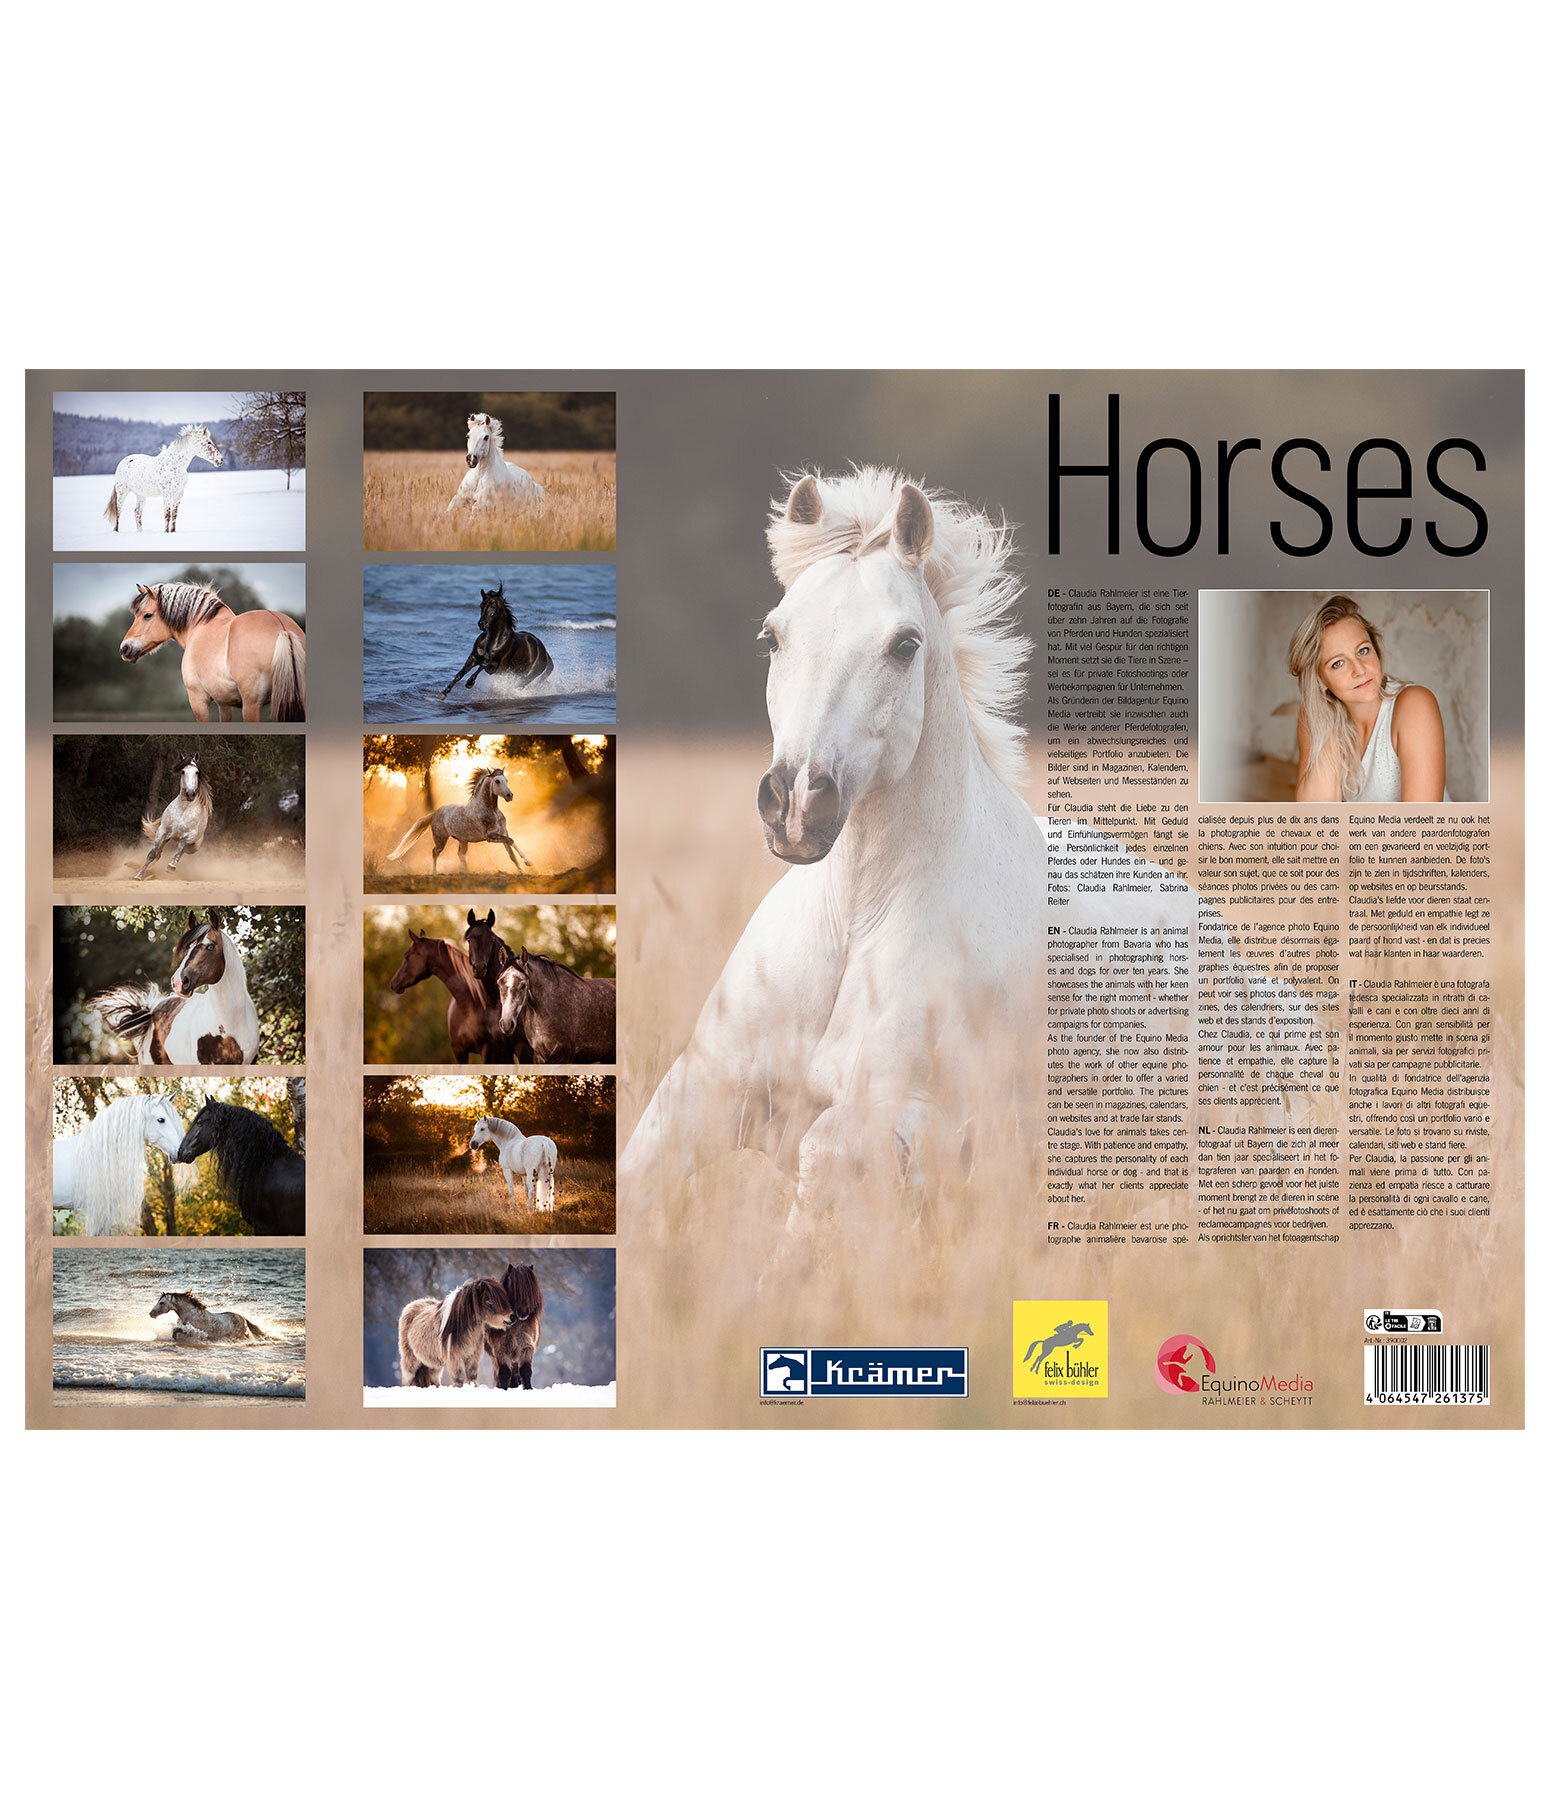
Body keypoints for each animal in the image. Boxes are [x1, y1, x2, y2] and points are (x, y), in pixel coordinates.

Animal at [121, 581, 306, 722]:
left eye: (147, 615)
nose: (125, 648)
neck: (198, 625)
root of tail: (283, 629)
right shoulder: (224, 704)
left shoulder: (198, 699)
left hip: (251, 705)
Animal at [386, 767, 531, 874]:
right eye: (497, 781)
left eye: (506, 780)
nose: (509, 795)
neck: (491, 810)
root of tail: (434, 814)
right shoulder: (490, 836)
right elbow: (511, 841)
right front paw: (528, 862)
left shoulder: (503, 833)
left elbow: (511, 852)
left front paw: (523, 870)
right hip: (441, 840)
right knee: (434, 852)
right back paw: (434, 873)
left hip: (463, 840)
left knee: (460, 854)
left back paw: (466, 872)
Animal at [485, 1262, 543, 1390]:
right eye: (513, 1285)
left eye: (530, 1286)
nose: (523, 1312)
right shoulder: (501, 1350)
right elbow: (504, 1373)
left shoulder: (526, 1348)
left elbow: (526, 1371)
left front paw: (528, 1388)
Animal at [621, 467, 1323, 1239]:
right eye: (773, 636)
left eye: (904, 645)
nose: (799, 804)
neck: (857, 924)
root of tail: (1254, 981)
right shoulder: (696, 1096)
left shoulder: (880, 1127)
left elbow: (806, 1205)